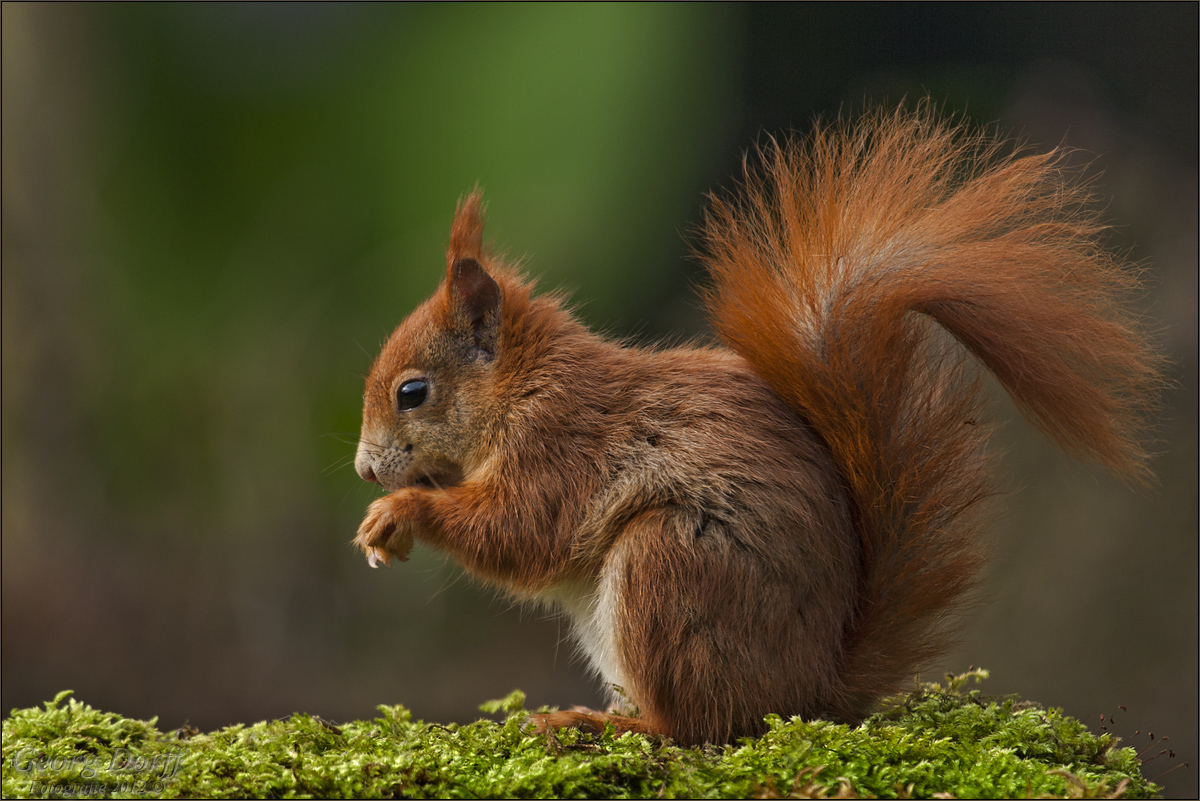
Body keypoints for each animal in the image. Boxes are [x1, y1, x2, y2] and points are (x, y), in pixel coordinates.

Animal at [350, 106, 1161, 743]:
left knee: (696, 725)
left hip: (669, 565)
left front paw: (398, 512)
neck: (520, 387)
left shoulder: (558, 443)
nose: (363, 467)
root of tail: (813, 687)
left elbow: (522, 532)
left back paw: (600, 722)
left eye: (413, 392)